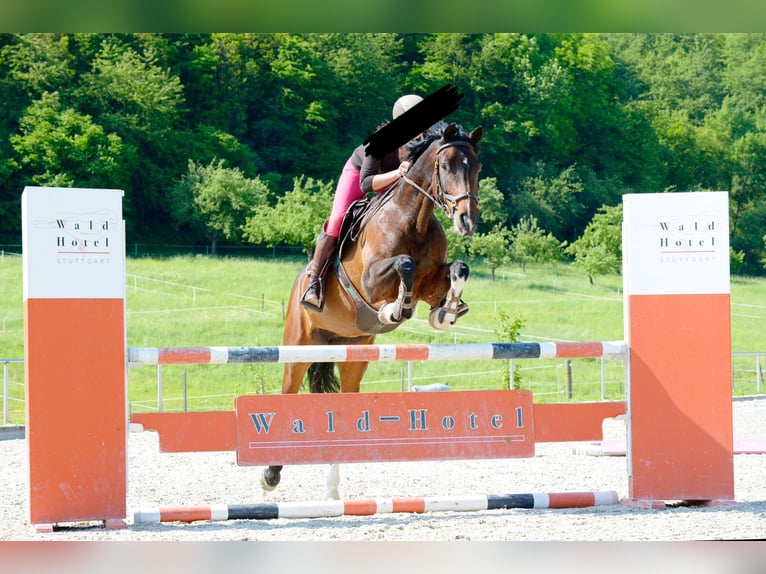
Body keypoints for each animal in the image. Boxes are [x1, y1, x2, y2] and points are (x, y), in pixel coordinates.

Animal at [262, 121, 483, 497]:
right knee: (287, 393)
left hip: (353, 356)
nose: (467, 221)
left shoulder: (431, 281)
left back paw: (333, 489)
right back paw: (271, 474)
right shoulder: (369, 282)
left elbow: (458, 269)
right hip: (298, 345)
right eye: (446, 165)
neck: (414, 218)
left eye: (478, 167)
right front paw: (394, 310)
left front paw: (446, 312)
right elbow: (405, 265)